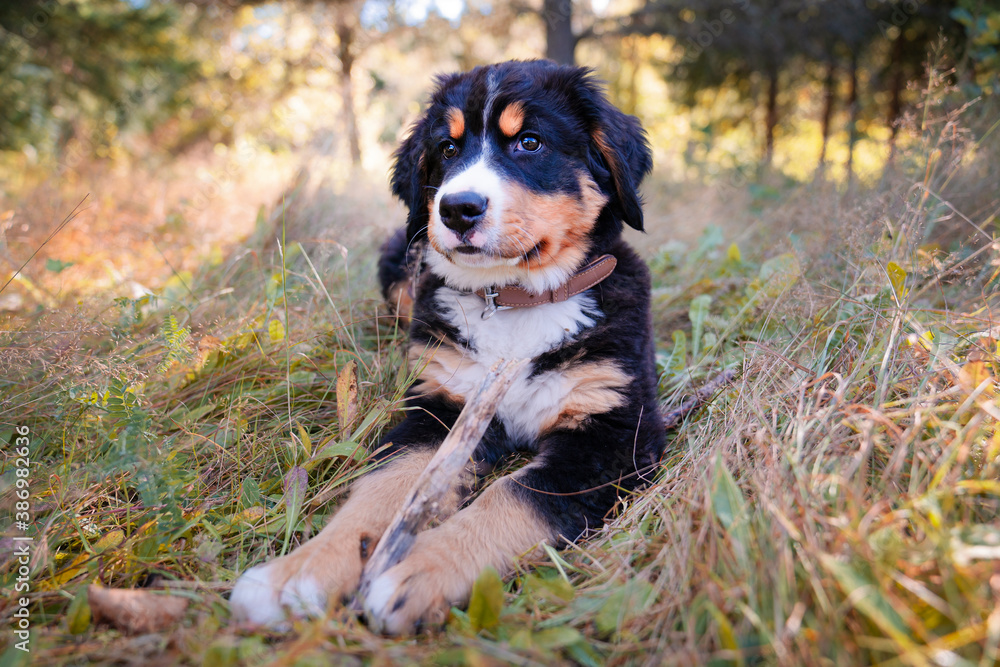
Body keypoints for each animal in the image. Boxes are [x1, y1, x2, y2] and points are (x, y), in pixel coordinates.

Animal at [229, 60, 664, 636]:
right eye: (448, 148)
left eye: (530, 142)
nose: (457, 208)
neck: (514, 302)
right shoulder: (441, 406)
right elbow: (382, 489)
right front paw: (298, 575)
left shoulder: (614, 434)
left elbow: (516, 496)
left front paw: (420, 572)